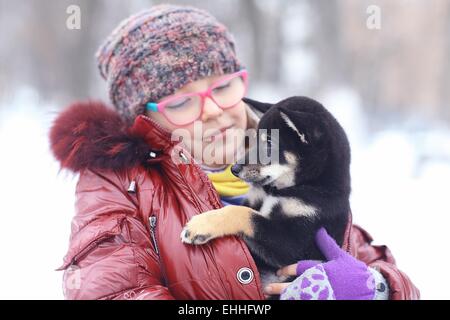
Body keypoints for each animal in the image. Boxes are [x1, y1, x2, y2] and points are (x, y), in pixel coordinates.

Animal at [180, 96, 352, 286]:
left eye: (270, 144)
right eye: (254, 139)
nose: (234, 168)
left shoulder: (299, 241)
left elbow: (242, 213)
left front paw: (200, 225)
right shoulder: (255, 200)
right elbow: (243, 209)